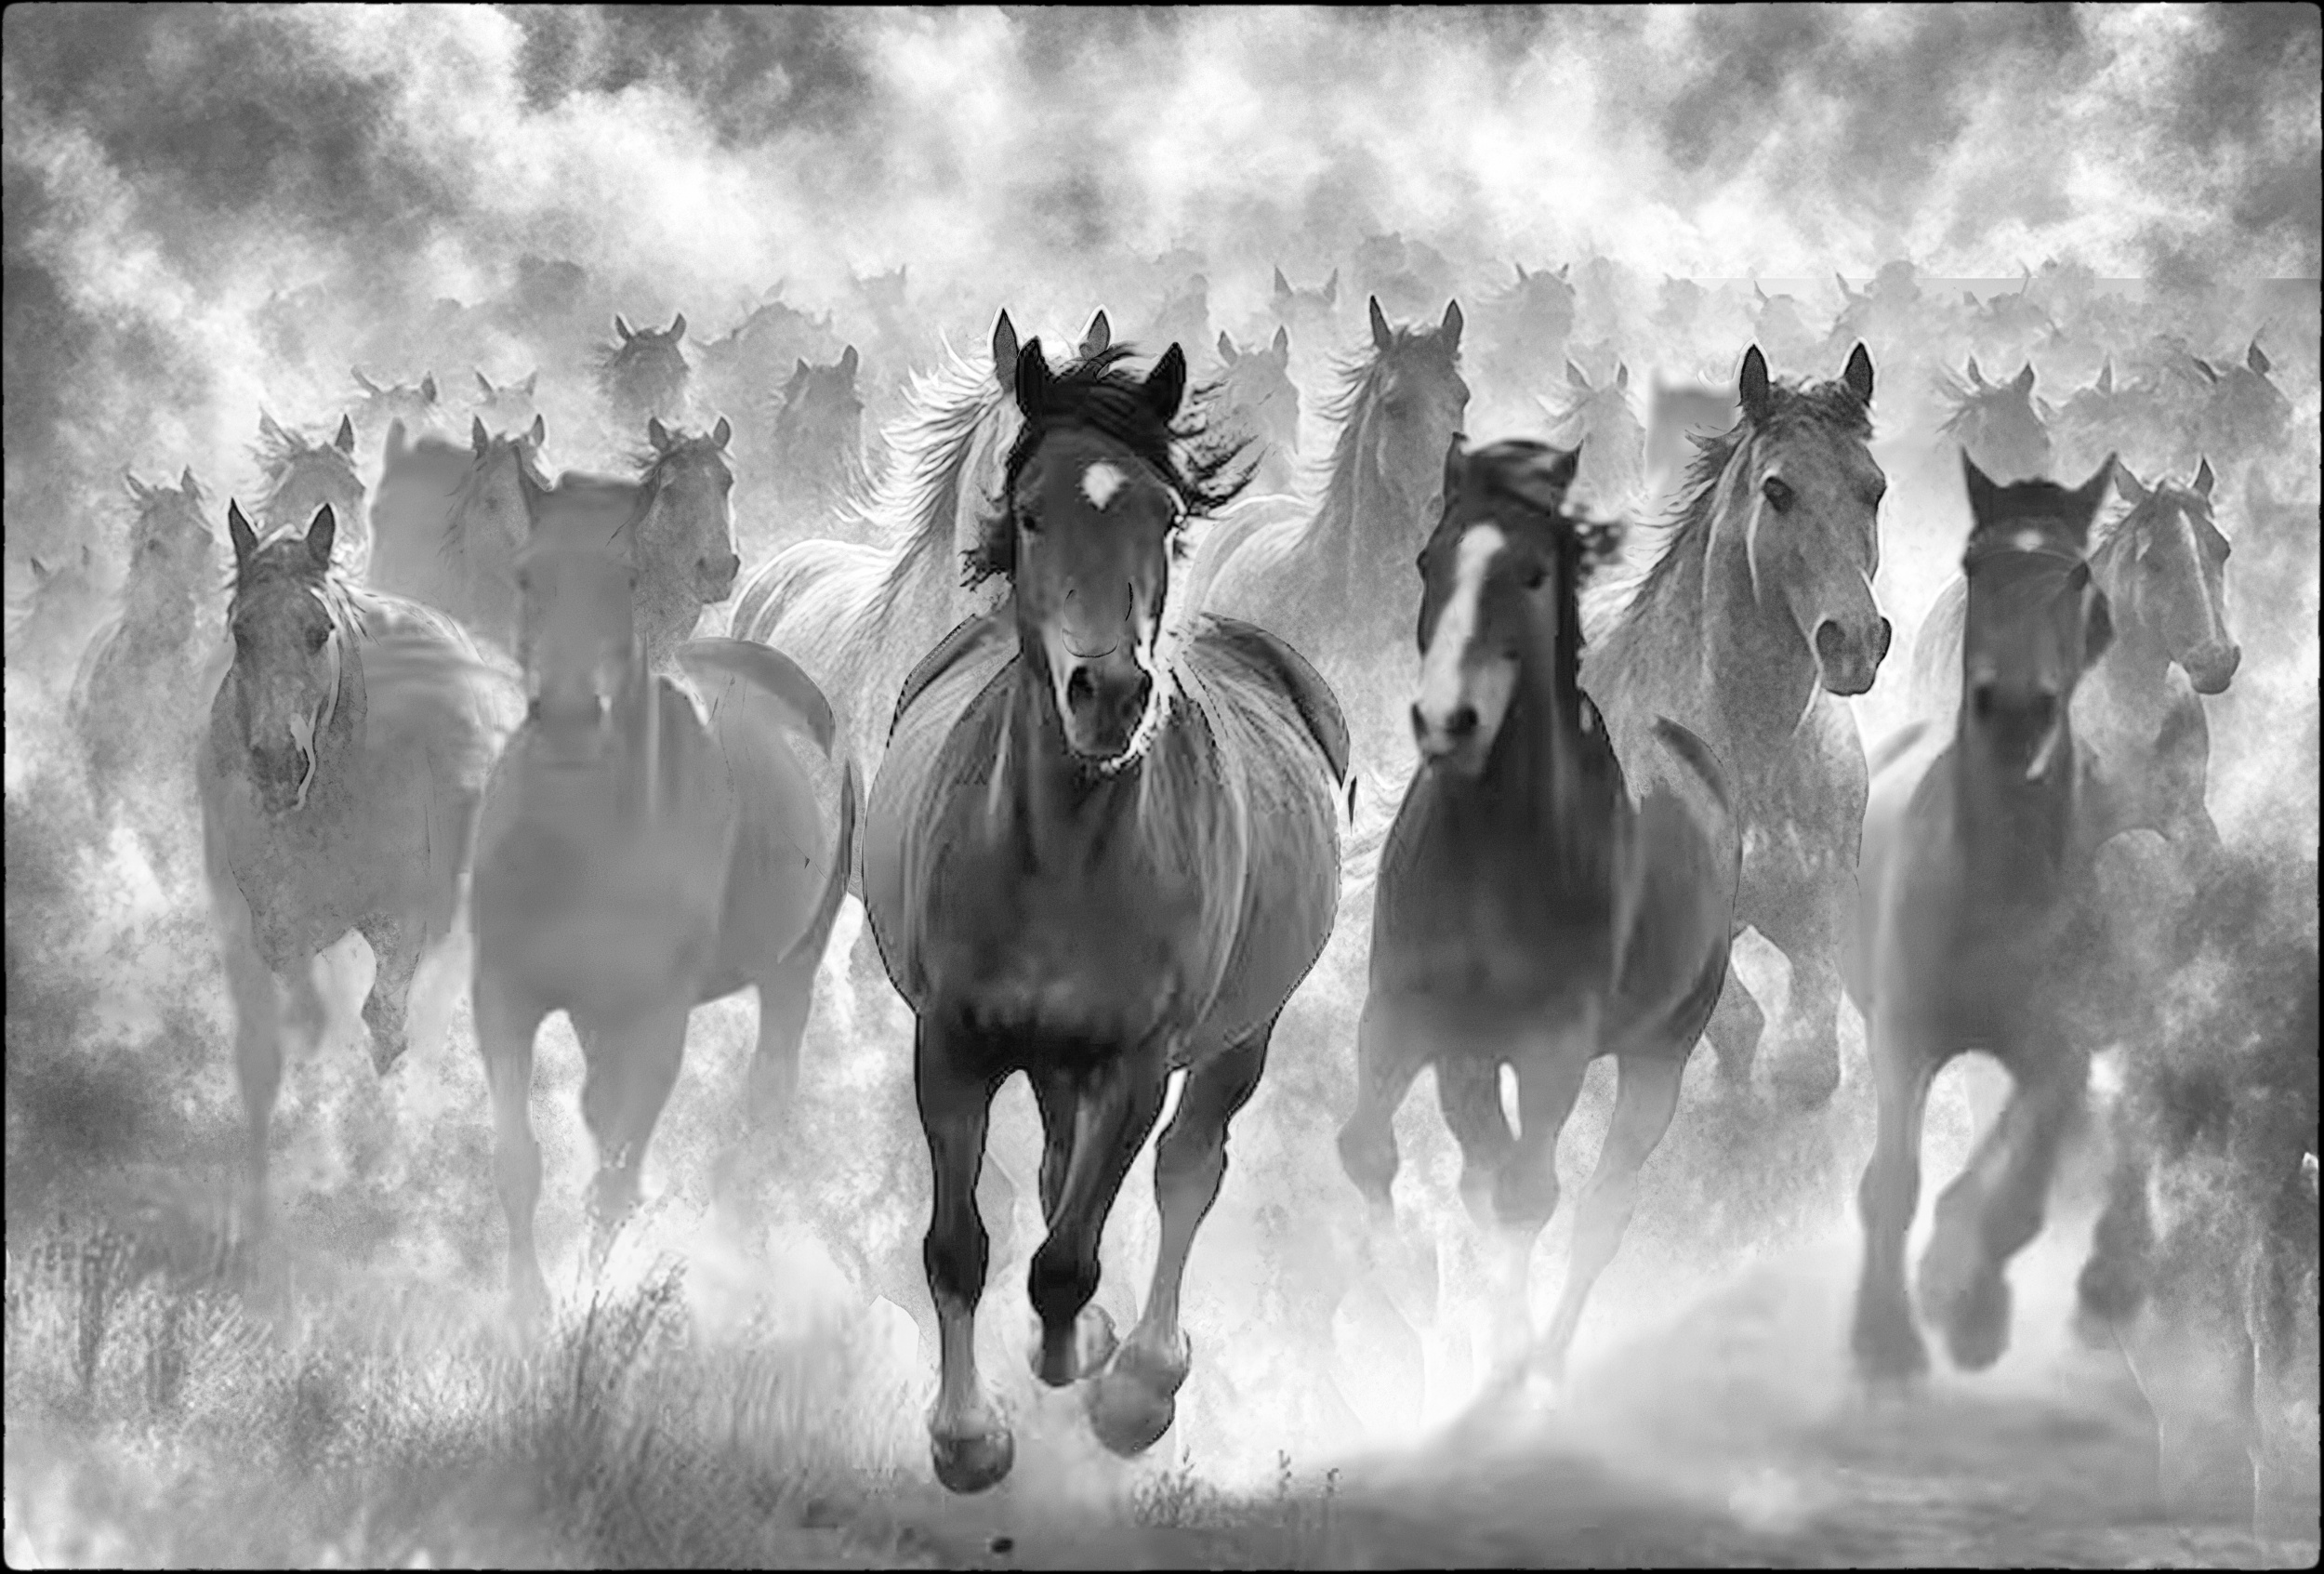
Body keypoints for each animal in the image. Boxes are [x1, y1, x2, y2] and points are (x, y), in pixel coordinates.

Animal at [199, 501, 512, 1227]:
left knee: (423, 1028)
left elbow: (386, 1023)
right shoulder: (278, 928)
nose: (277, 764)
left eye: (320, 632)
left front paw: (377, 1161)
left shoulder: (405, 921)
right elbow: (310, 1025)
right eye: (241, 632)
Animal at [472, 476, 855, 1322]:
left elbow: (612, 1176)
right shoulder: (505, 996)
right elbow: (519, 1157)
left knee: (763, 1102)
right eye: (525, 575)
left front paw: (588, 1309)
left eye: (626, 579)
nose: (571, 713)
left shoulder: (657, 1020)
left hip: (792, 970)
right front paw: (524, 1312)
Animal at [1338, 437, 1736, 1406]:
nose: (1446, 720)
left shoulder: (1554, 1046)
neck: (1491, 858)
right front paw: (1419, 1303)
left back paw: (1547, 1367)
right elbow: (1370, 1150)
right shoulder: (1402, 1018)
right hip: (1471, 1060)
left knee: (1598, 1206)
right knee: (1483, 1173)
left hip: (1656, 1057)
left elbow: (1529, 1196)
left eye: (1531, 572)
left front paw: (1505, 1366)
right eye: (1427, 560)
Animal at [1582, 342, 1890, 1109]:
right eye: (1777, 490)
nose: (1854, 641)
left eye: (1874, 489)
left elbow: (1807, 1056)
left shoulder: (1822, 906)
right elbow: (1740, 1024)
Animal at [1847, 454, 2122, 1385]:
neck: (1999, 887)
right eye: (1973, 565)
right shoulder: (1903, 1035)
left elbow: (2016, 1194)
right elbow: (1893, 1183)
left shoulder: (2059, 1051)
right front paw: (1885, 1344)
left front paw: (1967, 1310)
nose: (2014, 713)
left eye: (2078, 573)